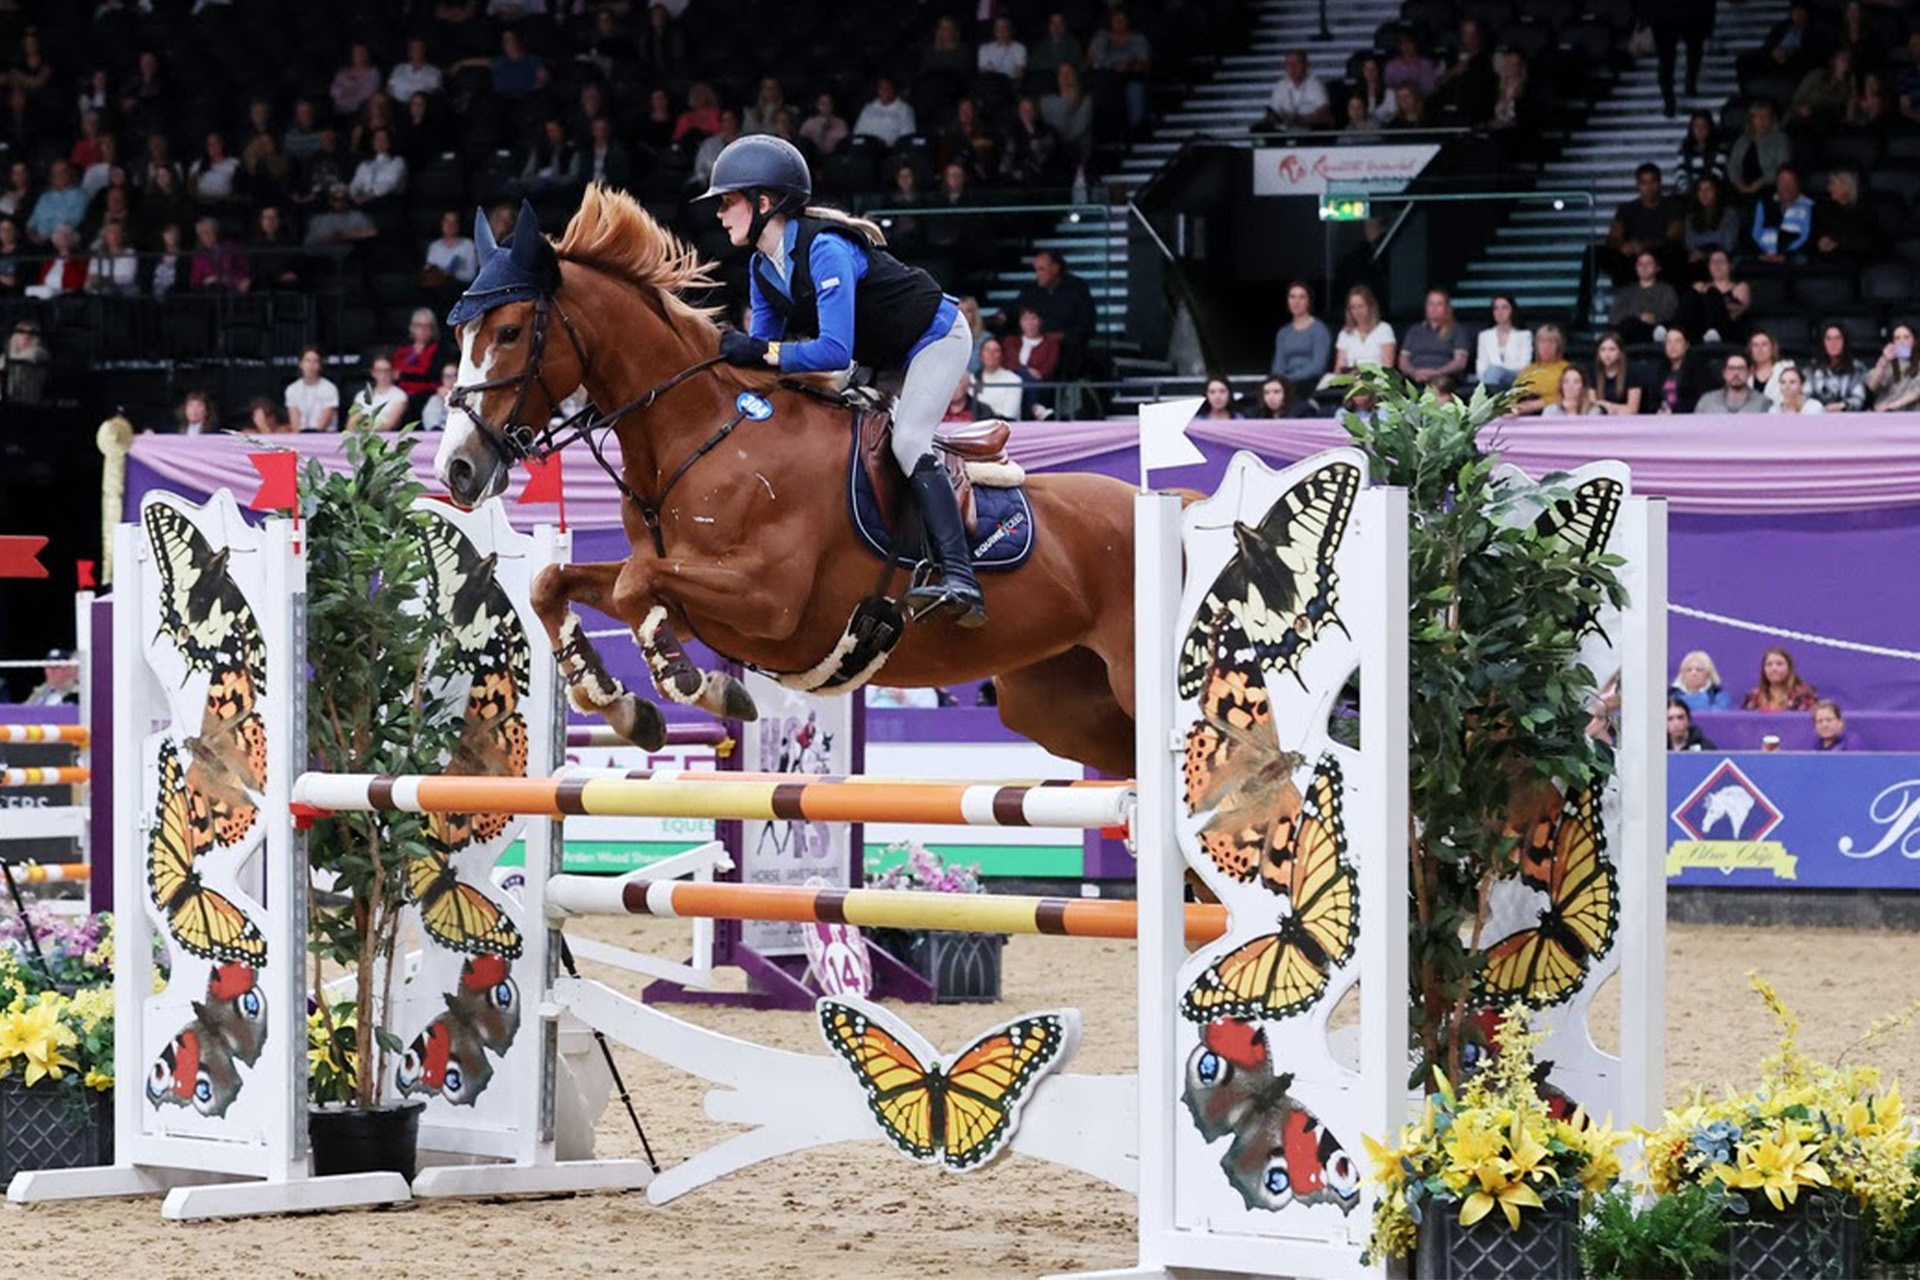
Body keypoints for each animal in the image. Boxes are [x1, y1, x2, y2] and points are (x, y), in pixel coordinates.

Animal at [435, 185, 1136, 775]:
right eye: (464, 333)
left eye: (509, 331)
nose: (455, 468)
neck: (701, 431)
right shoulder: (688, 597)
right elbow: (558, 582)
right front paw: (620, 703)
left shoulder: (767, 598)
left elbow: (636, 586)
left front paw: (701, 687)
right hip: (1058, 704)